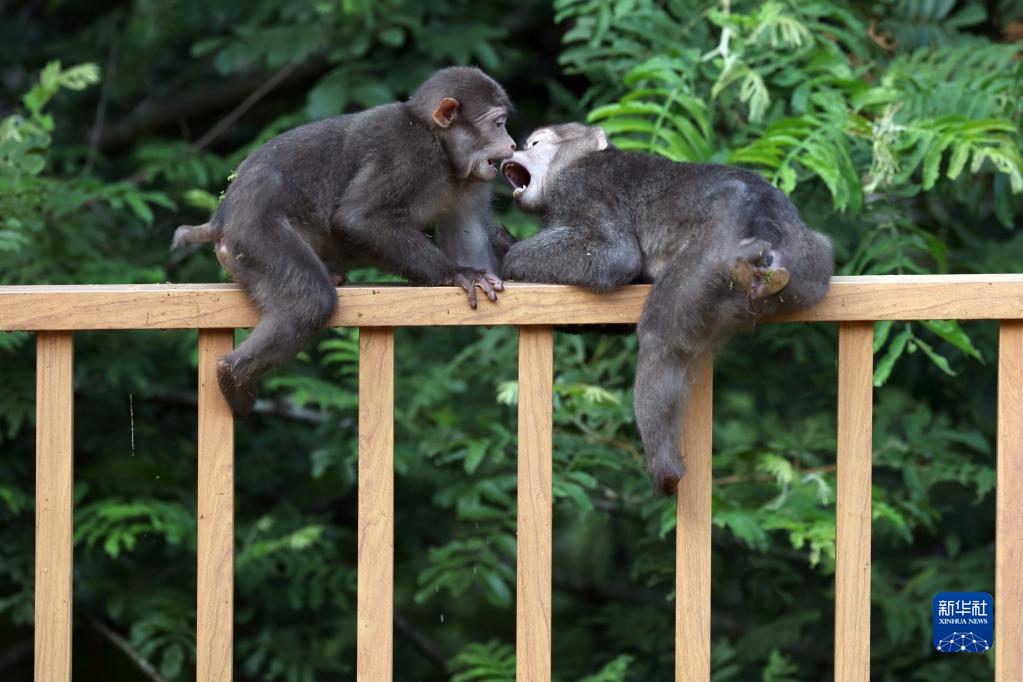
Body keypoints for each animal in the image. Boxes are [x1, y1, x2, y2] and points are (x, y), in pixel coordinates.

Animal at [172, 67, 519, 417]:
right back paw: (233, 373)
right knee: (311, 300)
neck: (440, 149)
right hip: (253, 233)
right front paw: (456, 273)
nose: (512, 143)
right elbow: (358, 218)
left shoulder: (472, 178)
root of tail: (223, 217)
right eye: (498, 123)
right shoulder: (408, 154)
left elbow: (467, 234)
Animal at [499, 124, 834, 496]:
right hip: (809, 265)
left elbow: (614, 256)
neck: (577, 161)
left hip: (712, 261)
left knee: (660, 335)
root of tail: (768, 220)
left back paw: (665, 464)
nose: (513, 150)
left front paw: (508, 253)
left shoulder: (581, 185)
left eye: (535, 144)